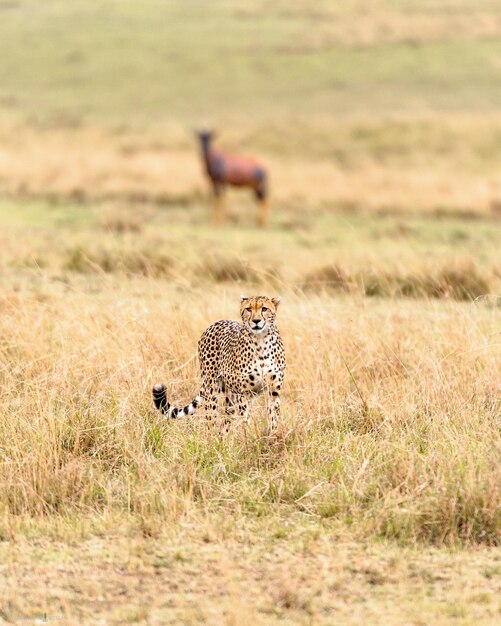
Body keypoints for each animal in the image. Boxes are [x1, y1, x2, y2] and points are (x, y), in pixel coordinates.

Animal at [151, 294, 286, 426]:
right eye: (248, 309)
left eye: (264, 309)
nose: (256, 321)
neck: (261, 341)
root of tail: (217, 322)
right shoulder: (242, 393)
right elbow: (246, 420)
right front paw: (251, 431)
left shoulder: (273, 391)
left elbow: (273, 417)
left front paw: (272, 432)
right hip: (212, 389)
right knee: (211, 419)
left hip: (230, 397)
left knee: (225, 423)